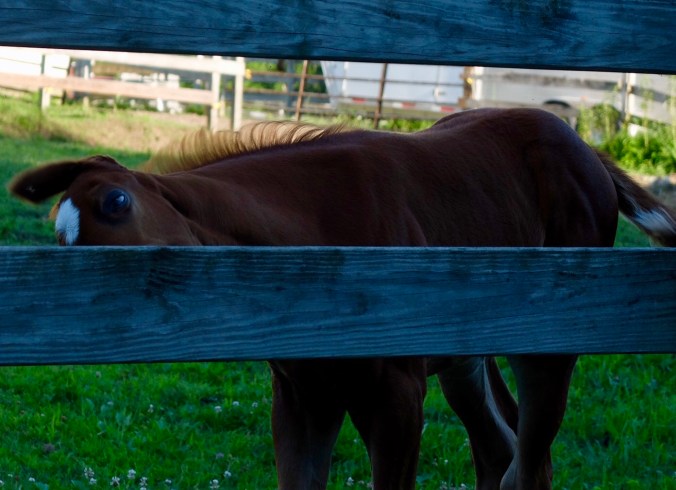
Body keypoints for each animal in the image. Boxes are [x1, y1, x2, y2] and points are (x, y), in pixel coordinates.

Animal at [11, 108, 676, 490]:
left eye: (116, 202)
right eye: (58, 239)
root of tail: (587, 150)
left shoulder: (397, 396)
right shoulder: (305, 399)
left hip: (549, 347)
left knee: (530, 462)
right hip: (465, 359)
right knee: (500, 452)